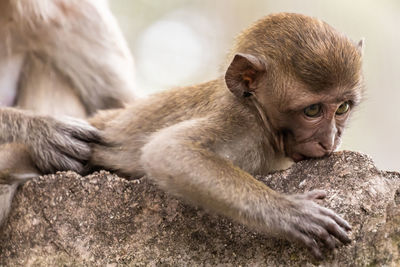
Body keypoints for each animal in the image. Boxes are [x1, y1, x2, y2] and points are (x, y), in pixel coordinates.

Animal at [89, 13, 364, 260]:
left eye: (342, 108)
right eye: (312, 111)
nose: (330, 140)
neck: (261, 118)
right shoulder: (239, 122)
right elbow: (169, 150)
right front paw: (292, 213)